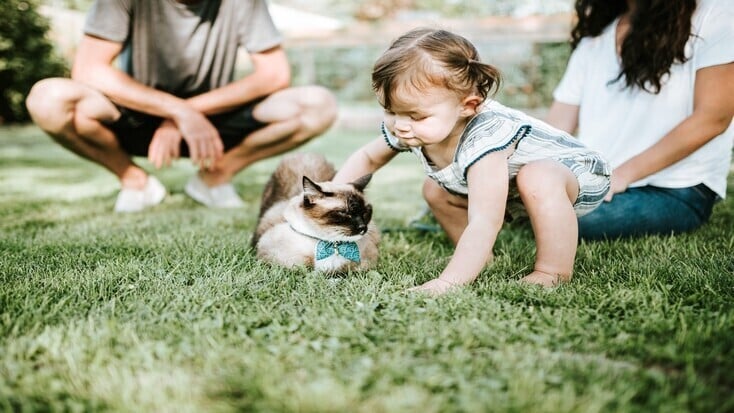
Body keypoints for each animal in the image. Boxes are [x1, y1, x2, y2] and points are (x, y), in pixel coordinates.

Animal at [252, 153, 380, 272]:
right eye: (344, 213)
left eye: (365, 212)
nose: (363, 227)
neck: (332, 245)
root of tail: (304, 154)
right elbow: (303, 265)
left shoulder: (368, 259)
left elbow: (350, 267)